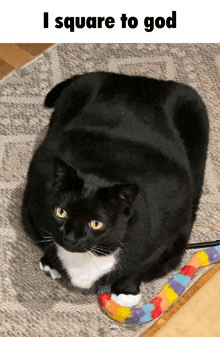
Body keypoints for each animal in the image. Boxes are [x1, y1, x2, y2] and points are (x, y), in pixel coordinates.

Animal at [21, 71, 209, 308]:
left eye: (96, 223)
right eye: (61, 212)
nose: (71, 237)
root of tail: (136, 79)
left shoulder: (166, 224)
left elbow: (140, 264)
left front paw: (126, 291)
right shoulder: (33, 202)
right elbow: (44, 240)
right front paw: (51, 262)